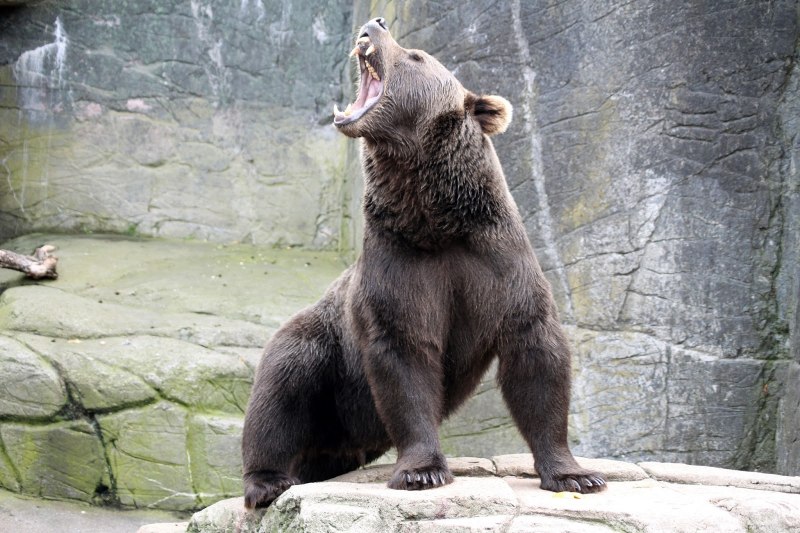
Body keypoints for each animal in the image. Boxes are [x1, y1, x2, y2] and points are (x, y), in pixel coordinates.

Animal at [241, 17, 606, 509]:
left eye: (415, 55)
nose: (375, 22)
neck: (437, 220)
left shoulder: (498, 262)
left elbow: (535, 354)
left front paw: (575, 474)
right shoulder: (399, 267)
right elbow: (405, 356)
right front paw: (422, 471)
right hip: (323, 347)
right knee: (282, 387)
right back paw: (267, 481)